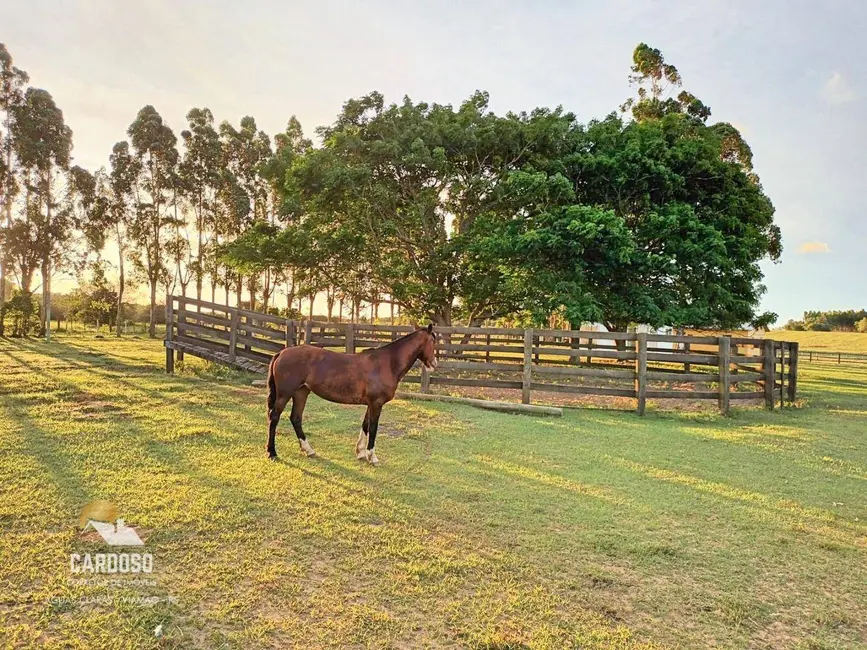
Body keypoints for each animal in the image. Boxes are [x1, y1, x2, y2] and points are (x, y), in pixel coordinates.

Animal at [264, 322, 438, 460]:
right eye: (433, 341)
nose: (434, 363)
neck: (387, 363)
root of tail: (282, 352)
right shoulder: (376, 404)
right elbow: (373, 428)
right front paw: (372, 456)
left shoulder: (371, 403)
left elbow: (365, 425)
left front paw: (360, 452)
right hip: (284, 394)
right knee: (274, 417)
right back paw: (272, 452)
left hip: (301, 392)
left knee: (296, 418)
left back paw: (308, 450)